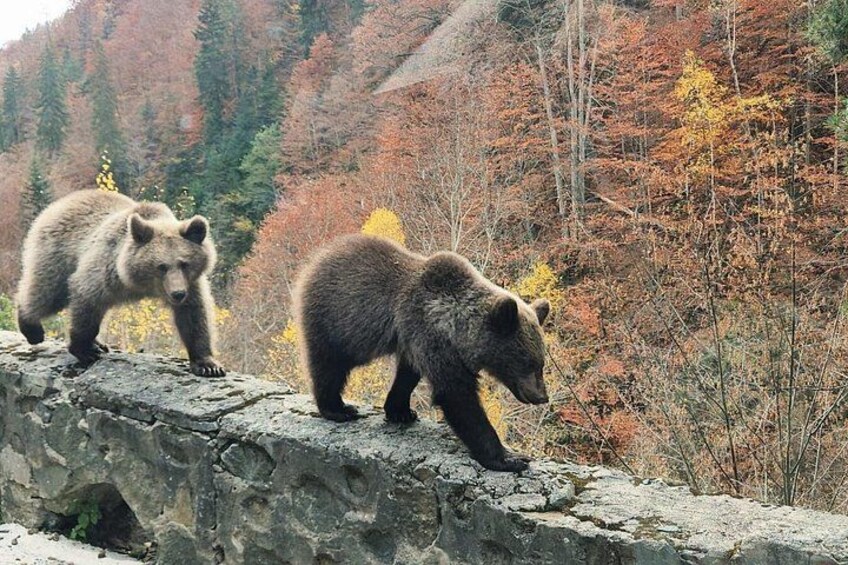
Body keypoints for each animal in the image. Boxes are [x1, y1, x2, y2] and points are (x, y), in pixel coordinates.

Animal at [16, 189, 225, 377]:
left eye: (184, 263)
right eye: (161, 266)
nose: (178, 293)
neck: (141, 283)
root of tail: (61, 202)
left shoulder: (191, 283)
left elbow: (194, 316)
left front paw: (208, 365)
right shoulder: (105, 271)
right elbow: (87, 299)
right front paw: (84, 350)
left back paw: (98, 342)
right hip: (58, 253)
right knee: (47, 294)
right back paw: (32, 328)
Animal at [293, 234, 550, 472]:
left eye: (541, 363)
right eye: (527, 362)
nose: (542, 396)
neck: (454, 328)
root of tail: (314, 261)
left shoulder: (415, 341)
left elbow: (407, 375)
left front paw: (400, 411)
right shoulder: (429, 335)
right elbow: (457, 396)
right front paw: (508, 457)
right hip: (335, 320)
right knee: (329, 365)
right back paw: (338, 409)